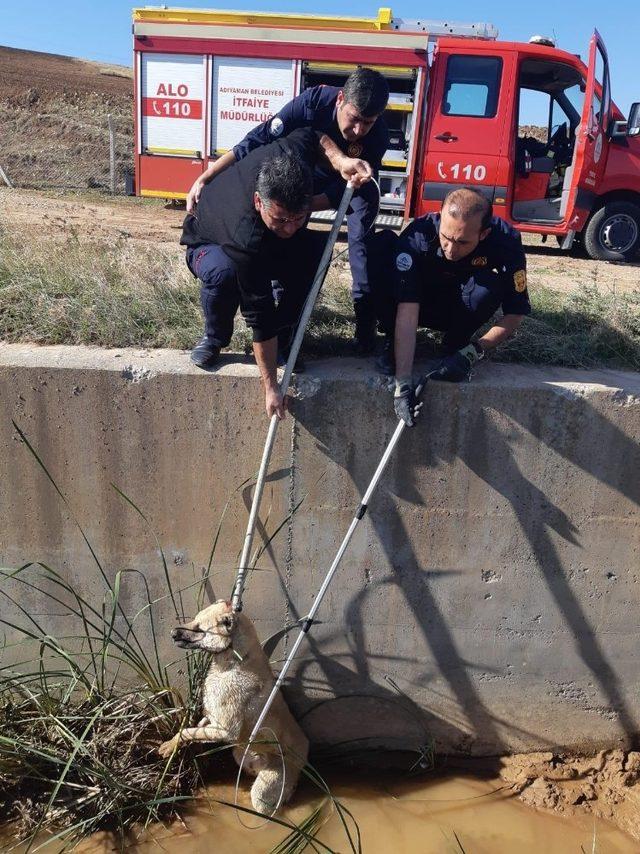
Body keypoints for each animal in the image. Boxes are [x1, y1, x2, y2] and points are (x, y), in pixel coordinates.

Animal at [160, 600, 310, 816]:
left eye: (200, 628)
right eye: (194, 620)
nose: (172, 632)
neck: (236, 660)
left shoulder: (226, 731)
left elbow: (187, 731)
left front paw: (170, 745)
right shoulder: (213, 718)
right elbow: (195, 726)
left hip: (264, 793)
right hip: (241, 755)